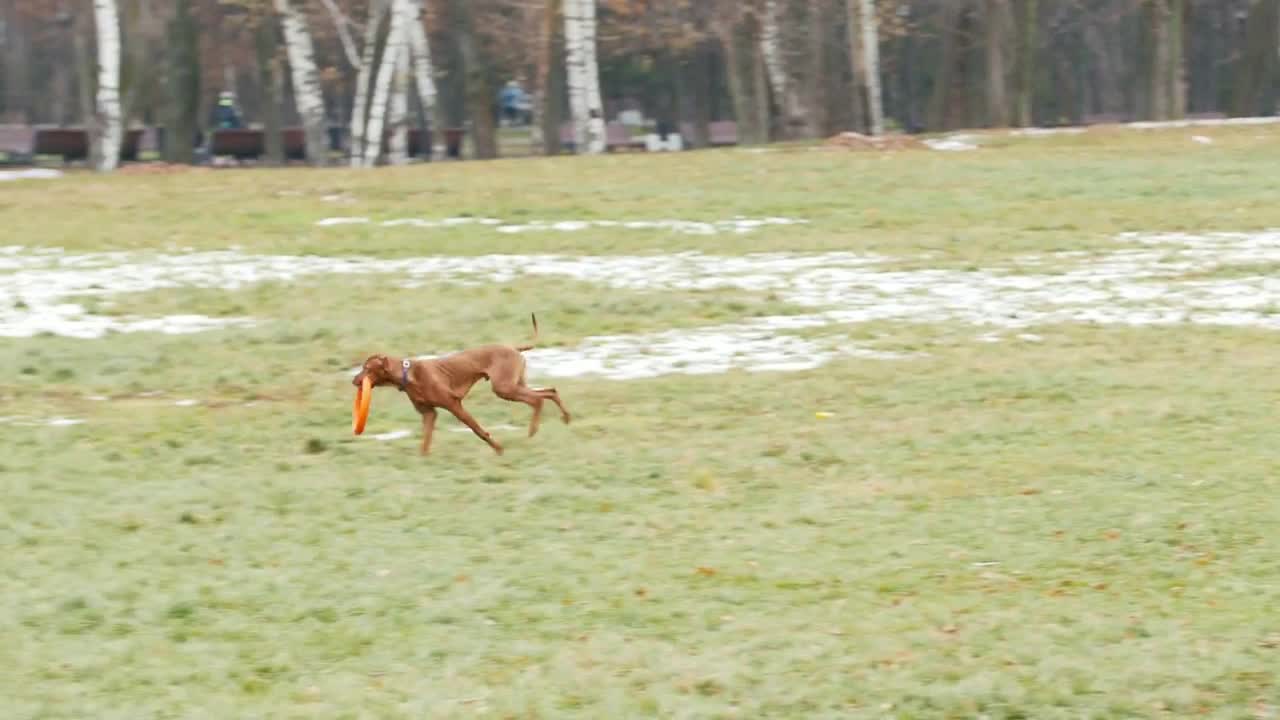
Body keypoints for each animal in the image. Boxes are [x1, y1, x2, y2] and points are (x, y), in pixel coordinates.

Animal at [350, 313, 570, 453]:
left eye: (367, 368)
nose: (354, 380)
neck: (408, 373)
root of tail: (514, 348)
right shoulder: (429, 414)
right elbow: (425, 443)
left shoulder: (454, 406)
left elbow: (479, 431)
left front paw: (498, 449)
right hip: (515, 385)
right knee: (550, 391)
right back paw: (566, 418)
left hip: (504, 388)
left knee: (537, 399)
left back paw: (533, 431)